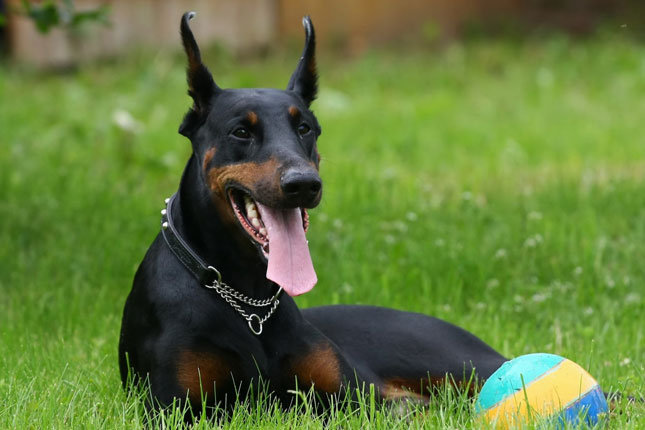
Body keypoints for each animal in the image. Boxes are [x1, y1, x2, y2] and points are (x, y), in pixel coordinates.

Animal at [117, 12, 508, 416]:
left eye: (304, 127)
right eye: (241, 131)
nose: (303, 184)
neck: (249, 302)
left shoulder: (354, 396)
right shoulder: (174, 408)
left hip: (464, 367)